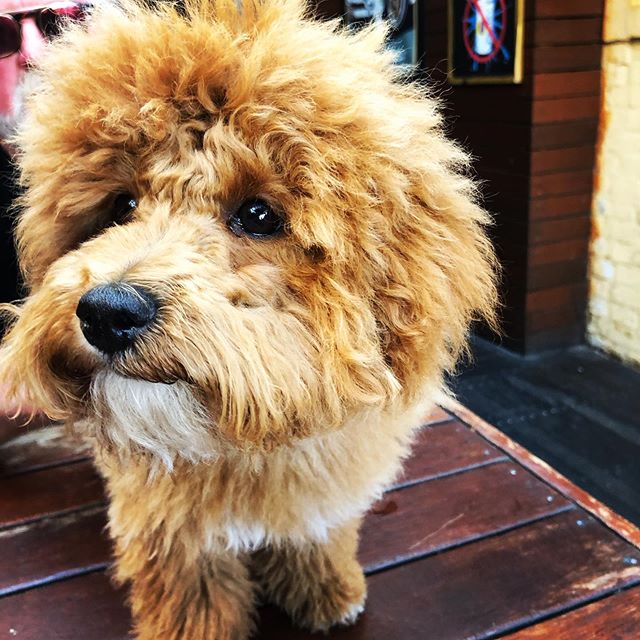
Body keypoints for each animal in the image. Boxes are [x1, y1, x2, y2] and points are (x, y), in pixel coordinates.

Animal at [0, 2, 498, 636]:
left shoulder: (321, 489)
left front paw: (327, 591)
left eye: (258, 215)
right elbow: (190, 591)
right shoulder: (169, 526)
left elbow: (316, 536)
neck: (244, 445)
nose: (107, 312)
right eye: (122, 205)